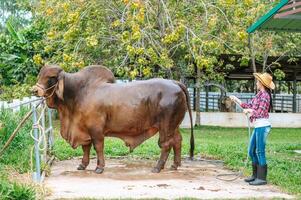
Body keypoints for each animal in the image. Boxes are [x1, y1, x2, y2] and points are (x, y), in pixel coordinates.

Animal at [32, 65, 192, 173]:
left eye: (50, 77)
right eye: (40, 74)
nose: (34, 90)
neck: (78, 94)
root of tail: (175, 83)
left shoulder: (96, 130)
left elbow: (98, 147)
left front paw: (99, 167)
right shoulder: (84, 130)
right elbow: (86, 148)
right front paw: (83, 165)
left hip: (166, 126)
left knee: (166, 145)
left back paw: (158, 167)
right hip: (174, 126)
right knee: (177, 141)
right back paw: (175, 165)